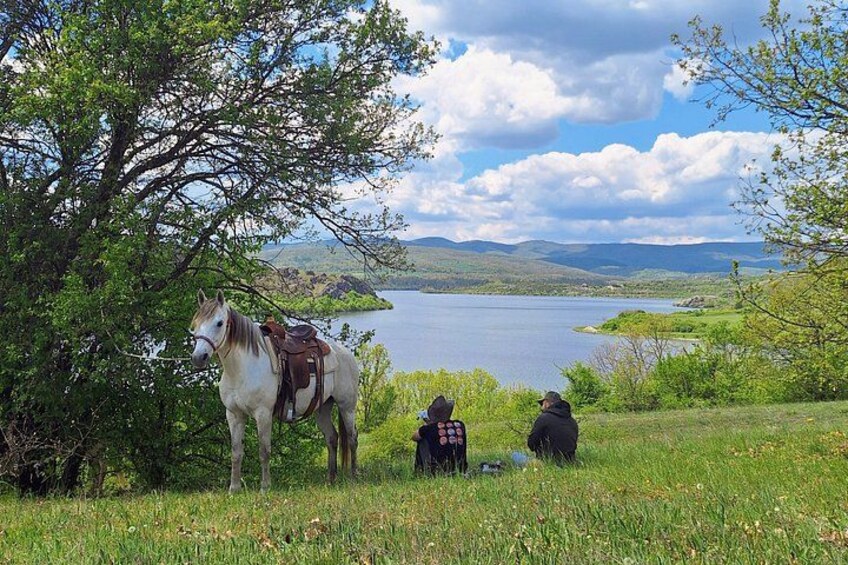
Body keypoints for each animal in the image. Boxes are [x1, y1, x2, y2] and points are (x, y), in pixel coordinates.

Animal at [189, 289, 359, 491]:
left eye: (219, 323)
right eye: (196, 323)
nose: (199, 357)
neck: (243, 368)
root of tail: (344, 352)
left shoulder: (263, 414)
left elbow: (264, 451)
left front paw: (265, 487)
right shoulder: (234, 415)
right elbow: (236, 452)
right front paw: (234, 488)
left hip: (347, 406)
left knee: (352, 437)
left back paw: (354, 476)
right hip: (322, 408)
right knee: (332, 438)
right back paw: (331, 479)